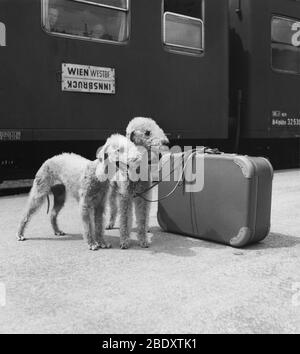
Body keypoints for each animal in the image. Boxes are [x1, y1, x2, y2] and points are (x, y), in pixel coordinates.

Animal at [107, 117, 169, 249]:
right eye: (147, 133)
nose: (166, 142)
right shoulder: (125, 196)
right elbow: (125, 219)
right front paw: (125, 241)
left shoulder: (144, 196)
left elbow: (143, 218)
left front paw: (143, 240)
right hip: (113, 192)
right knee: (114, 209)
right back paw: (110, 224)